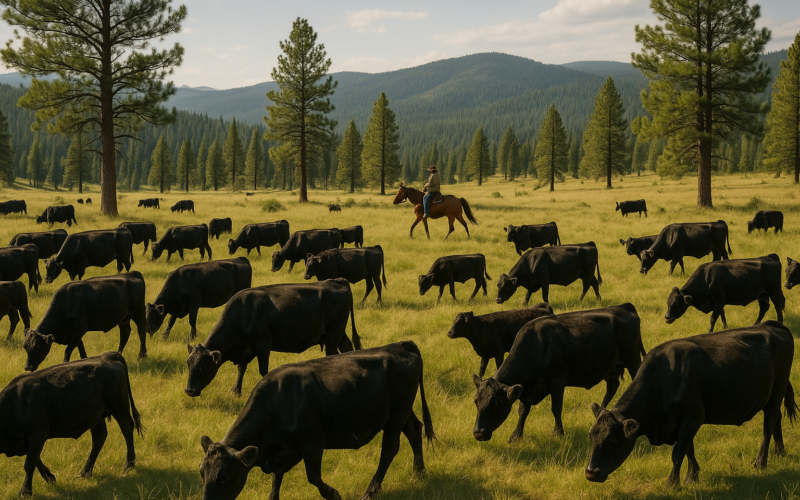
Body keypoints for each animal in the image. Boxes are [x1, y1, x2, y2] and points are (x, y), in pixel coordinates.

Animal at [0, 352, 142, 497]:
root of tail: (106, 356)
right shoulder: (27, 440)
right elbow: (35, 459)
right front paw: (50, 477)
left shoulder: (37, 434)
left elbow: (30, 463)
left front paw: (25, 491)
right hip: (98, 416)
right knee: (99, 439)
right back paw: (85, 472)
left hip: (120, 408)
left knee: (127, 430)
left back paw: (128, 465)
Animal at [185, 279, 361, 397]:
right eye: (188, 364)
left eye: (202, 366)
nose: (189, 390)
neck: (242, 313)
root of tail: (336, 281)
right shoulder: (246, 348)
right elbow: (241, 368)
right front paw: (236, 391)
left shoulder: (263, 344)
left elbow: (263, 370)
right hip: (338, 334)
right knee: (347, 347)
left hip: (332, 337)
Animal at [198, 341, 434, 500]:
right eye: (201, 472)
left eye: (223, 477)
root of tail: (401, 345)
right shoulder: (287, 450)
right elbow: (276, 477)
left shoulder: (312, 442)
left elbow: (313, 476)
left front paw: (334, 494)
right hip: (402, 413)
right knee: (415, 430)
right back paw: (419, 472)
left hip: (396, 416)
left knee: (389, 449)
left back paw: (371, 490)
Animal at [473, 304, 645, 444]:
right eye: (476, 401)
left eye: (496, 403)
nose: (478, 433)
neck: (536, 346)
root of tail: (623, 307)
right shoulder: (527, 387)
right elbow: (523, 410)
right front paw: (516, 436)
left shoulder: (557, 380)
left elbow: (556, 408)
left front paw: (559, 433)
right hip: (612, 368)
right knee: (612, 387)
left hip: (633, 360)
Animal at [585, 321, 797, 488]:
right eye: (591, 436)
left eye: (611, 441)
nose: (590, 472)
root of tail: (772, 325)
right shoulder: (684, 421)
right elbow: (689, 449)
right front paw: (692, 476)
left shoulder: (693, 417)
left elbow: (678, 452)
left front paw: (673, 483)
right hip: (773, 395)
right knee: (776, 419)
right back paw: (779, 451)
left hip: (778, 388)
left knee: (769, 424)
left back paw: (761, 461)